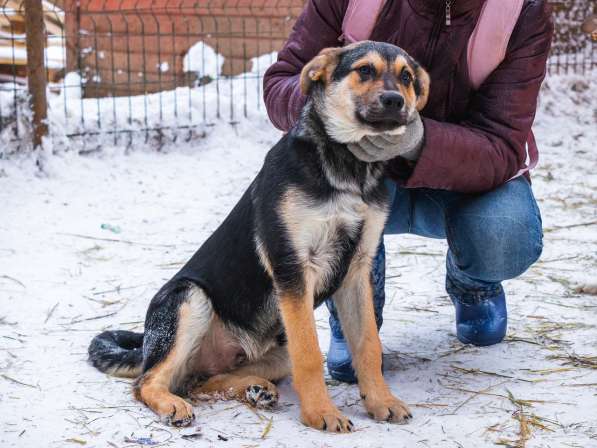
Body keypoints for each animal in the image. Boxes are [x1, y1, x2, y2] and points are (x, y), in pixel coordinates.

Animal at [88, 40, 428, 432]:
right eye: (365, 71)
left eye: (407, 77)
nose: (395, 101)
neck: (348, 168)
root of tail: (146, 346)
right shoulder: (292, 267)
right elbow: (310, 353)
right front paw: (320, 413)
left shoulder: (357, 270)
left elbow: (368, 345)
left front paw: (381, 402)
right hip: (190, 300)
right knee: (148, 382)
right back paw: (173, 404)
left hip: (275, 351)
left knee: (201, 380)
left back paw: (255, 389)